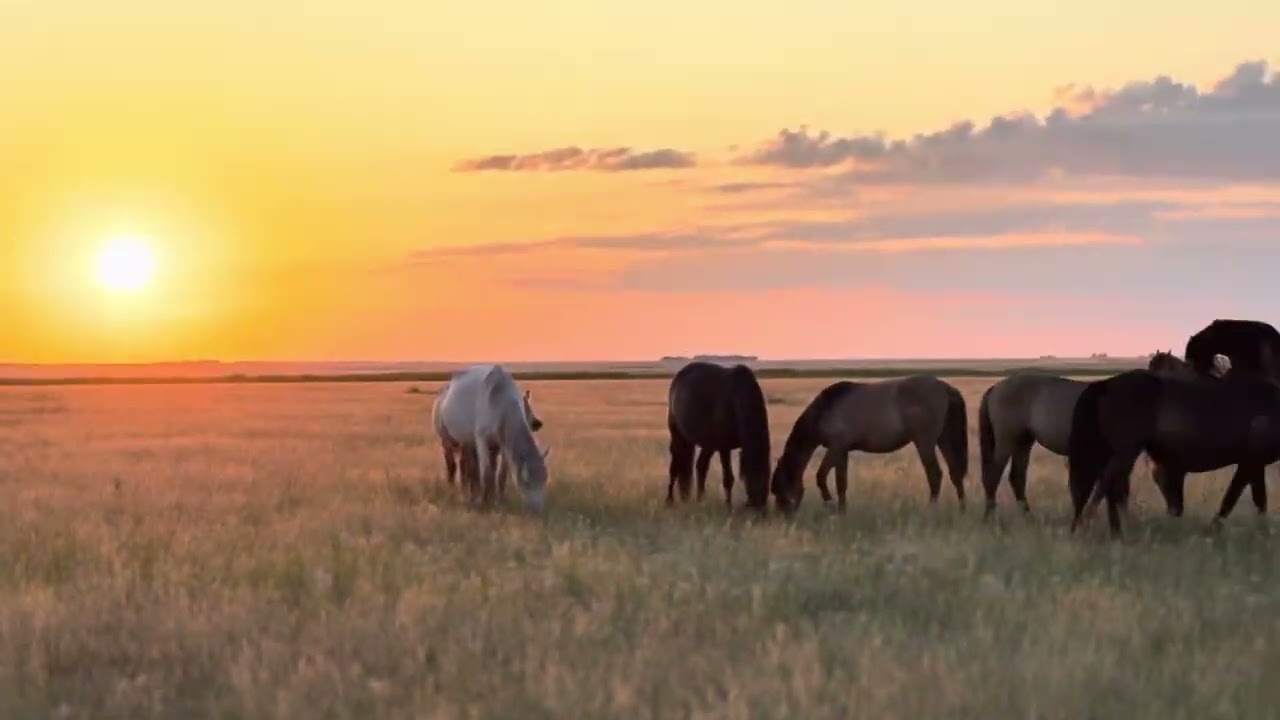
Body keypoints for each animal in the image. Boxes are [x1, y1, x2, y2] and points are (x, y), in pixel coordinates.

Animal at [432, 364, 551, 512]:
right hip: (446, 439)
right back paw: (453, 489)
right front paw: (485, 501)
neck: (500, 401)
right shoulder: (481, 439)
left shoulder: (504, 444)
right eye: (527, 481)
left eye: (544, 480)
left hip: (468, 443)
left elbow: (501, 474)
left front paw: (499, 499)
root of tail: (442, 394)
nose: (538, 510)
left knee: (466, 466)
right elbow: (486, 472)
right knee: (452, 465)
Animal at [666, 361, 772, 512]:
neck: (736, 398)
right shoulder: (724, 447)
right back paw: (669, 500)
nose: (760, 510)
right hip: (678, 436)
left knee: (700, 466)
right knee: (675, 466)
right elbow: (728, 478)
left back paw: (700, 499)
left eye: (767, 479)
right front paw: (728, 507)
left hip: (705, 443)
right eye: (753, 479)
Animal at [770, 375, 968, 514]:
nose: (783, 518)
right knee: (955, 473)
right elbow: (841, 483)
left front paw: (829, 502)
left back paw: (930, 510)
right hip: (944, 440)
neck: (824, 410)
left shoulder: (836, 447)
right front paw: (842, 512)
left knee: (935, 475)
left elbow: (821, 476)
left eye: (780, 490)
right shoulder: (842, 451)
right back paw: (962, 510)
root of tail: (945, 388)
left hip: (924, 442)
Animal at [1067, 367, 1280, 538]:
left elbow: (1256, 500)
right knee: (1107, 484)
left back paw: (1116, 532)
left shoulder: (1253, 464)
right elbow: (1237, 499)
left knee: (1112, 487)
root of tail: (1106, 384)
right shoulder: (1251, 462)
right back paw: (1092, 527)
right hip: (1126, 452)